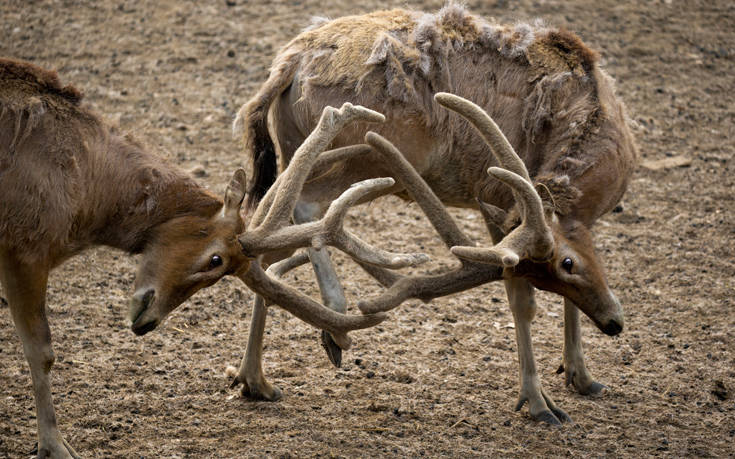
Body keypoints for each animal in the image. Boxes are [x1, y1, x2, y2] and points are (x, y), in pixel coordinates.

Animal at [1, 58, 408, 459]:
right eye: (216, 260)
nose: (146, 321)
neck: (86, 187)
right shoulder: (24, 246)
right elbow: (41, 351)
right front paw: (54, 446)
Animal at [231, 4, 640, 428]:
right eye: (567, 263)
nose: (613, 322)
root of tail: (289, 61)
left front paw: (581, 375)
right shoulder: (500, 197)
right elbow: (520, 301)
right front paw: (539, 402)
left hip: (298, 149)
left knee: (265, 231)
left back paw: (255, 379)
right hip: (367, 153)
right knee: (304, 208)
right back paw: (336, 320)